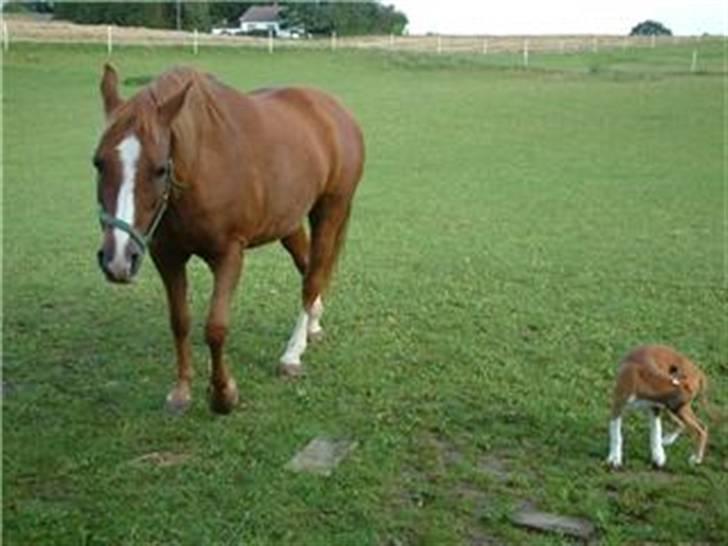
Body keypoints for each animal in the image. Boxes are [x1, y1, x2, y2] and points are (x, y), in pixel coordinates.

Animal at [93, 63, 364, 412]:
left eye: (159, 169)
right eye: (98, 163)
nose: (118, 259)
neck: (202, 166)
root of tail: (335, 111)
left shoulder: (229, 254)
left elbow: (216, 327)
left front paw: (223, 394)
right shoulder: (166, 255)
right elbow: (179, 321)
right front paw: (182, 390)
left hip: (331, 209)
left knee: (313, 278)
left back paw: (292, 354)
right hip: (289, 221)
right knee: (307, 267)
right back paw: (313, 324)